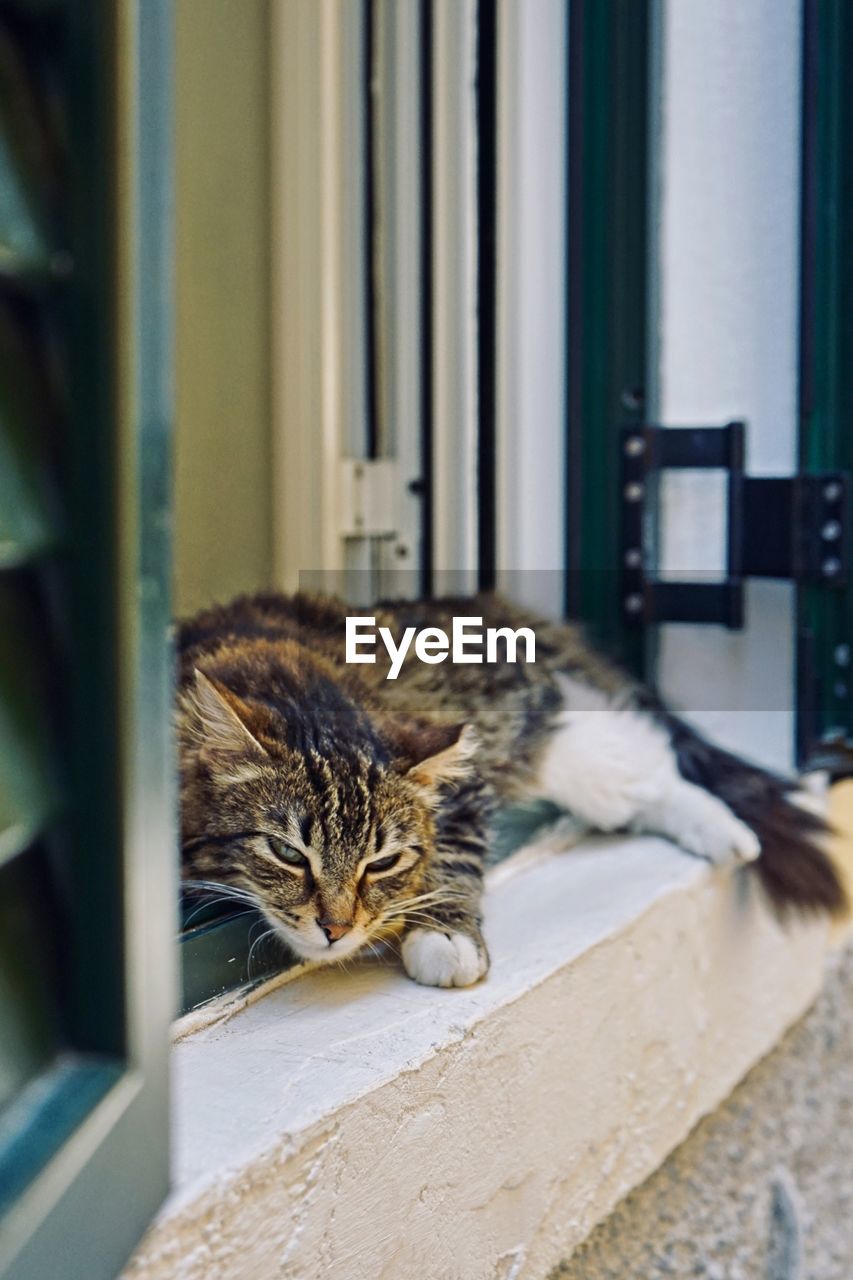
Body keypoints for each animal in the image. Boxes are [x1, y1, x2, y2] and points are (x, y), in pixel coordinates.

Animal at [175, 588, 840, 988]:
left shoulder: (465, 788)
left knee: (657, 770)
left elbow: (455, 861)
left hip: (565, 747)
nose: (336, 930)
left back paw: (735, 834)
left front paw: (444, 937)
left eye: (382, 863)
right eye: (287, 852)